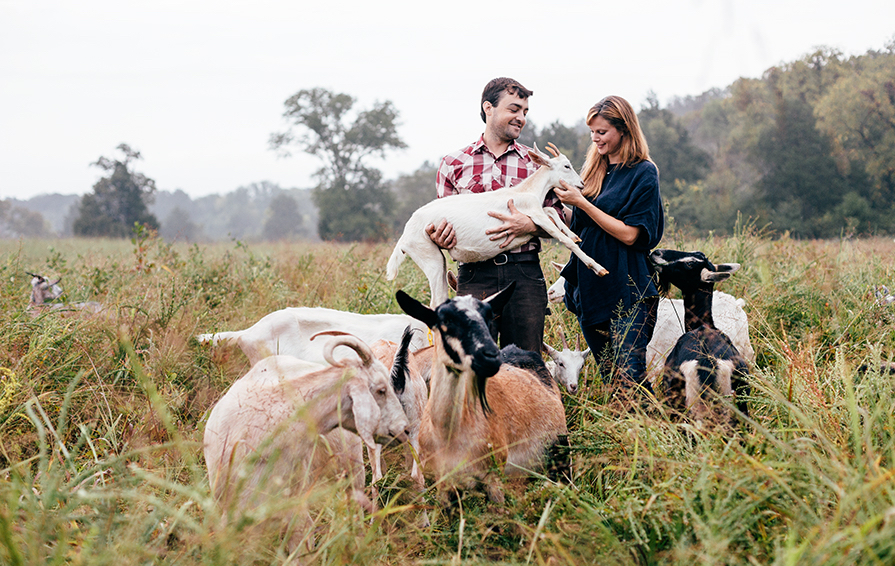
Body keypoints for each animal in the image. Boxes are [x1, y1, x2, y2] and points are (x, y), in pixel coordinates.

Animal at [386, 144, 608, 308]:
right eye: (566, 166)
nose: (581, 184)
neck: (527, 191)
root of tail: (404, 237)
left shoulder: (536, 213)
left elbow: (552, 212)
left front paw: (572, 233)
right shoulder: (535, 215)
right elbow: (563, 239)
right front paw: (597, 267)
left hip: (437, 262)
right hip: (428, 255)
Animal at [398, 286, 572, 508]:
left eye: (488, 316)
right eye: (447, 321)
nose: (490, 356)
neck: (449, 432)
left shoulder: (494, 478)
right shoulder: (443, 484)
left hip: (559, 452)